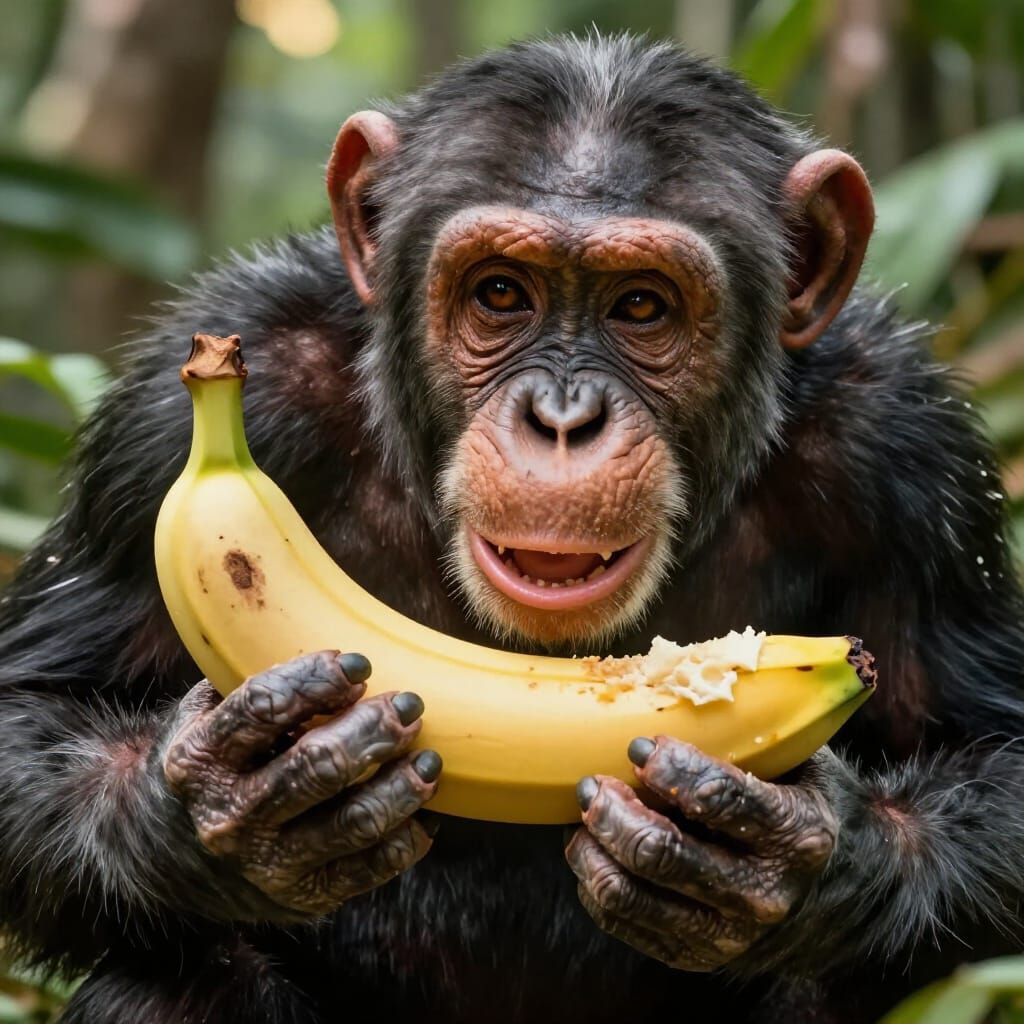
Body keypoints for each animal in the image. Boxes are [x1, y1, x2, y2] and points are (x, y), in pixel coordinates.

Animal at [1, 33, 1023, 1024]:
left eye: (641, 304)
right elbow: (33, 703)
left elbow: (995, 754)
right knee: (175, 990)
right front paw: (228, 801)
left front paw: (800, 859)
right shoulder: (163, 428)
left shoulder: (908, 449)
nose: (563, 418)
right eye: (500, 294)